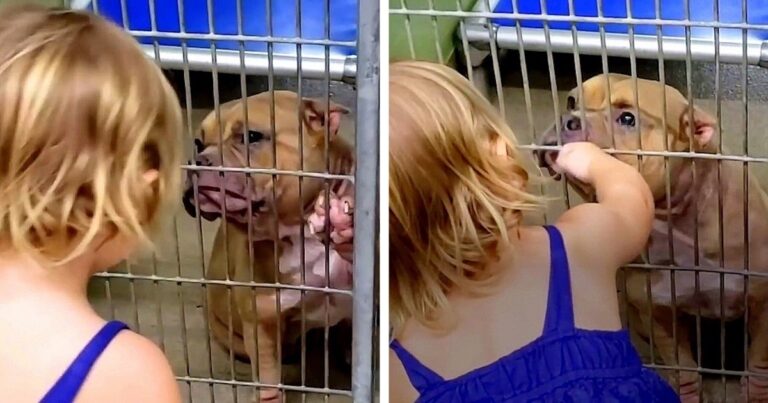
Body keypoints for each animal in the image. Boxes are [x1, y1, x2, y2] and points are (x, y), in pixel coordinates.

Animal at [536, 74, 768, 402]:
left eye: (628, 118)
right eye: (571, 101)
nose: (569, 118)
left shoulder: (762, 302)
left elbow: (759, 363)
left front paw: (756, 392)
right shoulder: (658, 313)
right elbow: (683, 365)